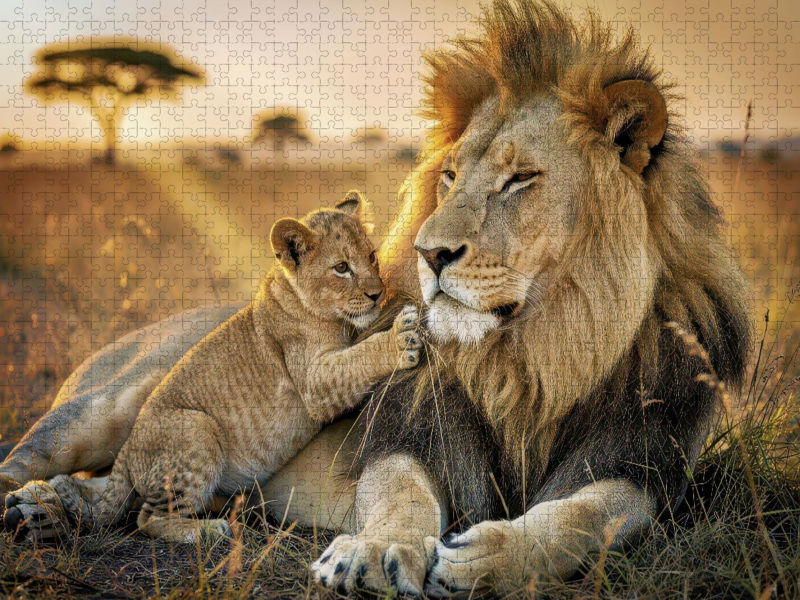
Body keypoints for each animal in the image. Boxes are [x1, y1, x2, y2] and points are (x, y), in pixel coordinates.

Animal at [2, 0, 751, 596]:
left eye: (519, 180)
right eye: (449, 176)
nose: (428, 253)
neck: (539, 353)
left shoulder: (642, 458)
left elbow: (586, 516)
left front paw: (487, 557)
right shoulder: (400, 427)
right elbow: (402, 493)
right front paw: (376, 552)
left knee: (117, 491)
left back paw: (59, 509)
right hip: (109, 409)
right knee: (44, 468)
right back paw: (42, 507)